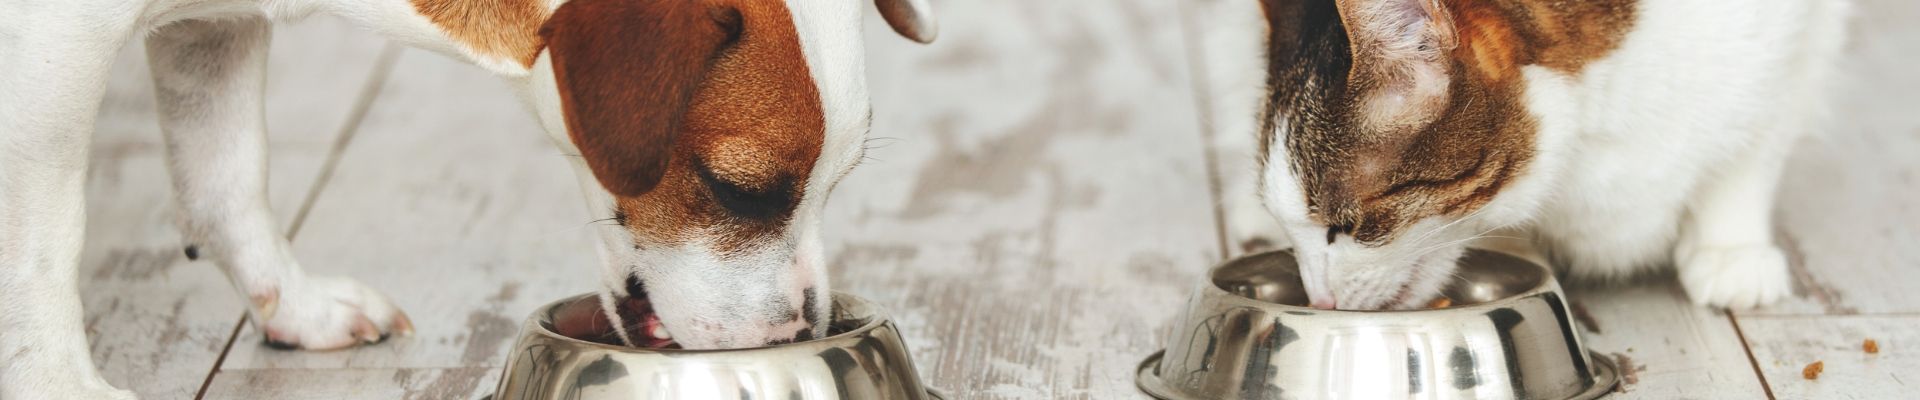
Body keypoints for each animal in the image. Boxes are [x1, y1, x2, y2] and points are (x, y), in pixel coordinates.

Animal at [0, 0, 929, 396]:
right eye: (739, 190)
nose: (802, 334)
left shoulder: (208, 31)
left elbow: (229, 174)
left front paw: (293, 303)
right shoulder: (50, 45)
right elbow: (43, 246)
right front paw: (57, 386)